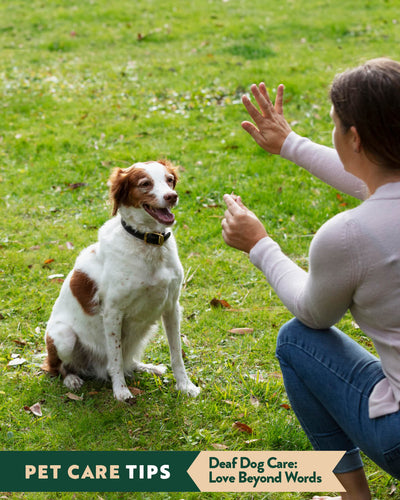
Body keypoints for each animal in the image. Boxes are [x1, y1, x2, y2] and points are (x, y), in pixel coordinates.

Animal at [42, 160, 200, 402]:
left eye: (169, 180)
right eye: (145, 184)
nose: (172, 196)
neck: (148, 242)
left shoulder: (172, 307)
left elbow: (176, 354)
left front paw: (185, 386)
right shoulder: (113, 313)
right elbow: (114, 358)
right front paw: (121, 391)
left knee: (128, 360)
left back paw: (147, 367)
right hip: (64, 337)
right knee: (56, 367)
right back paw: (72, 379)